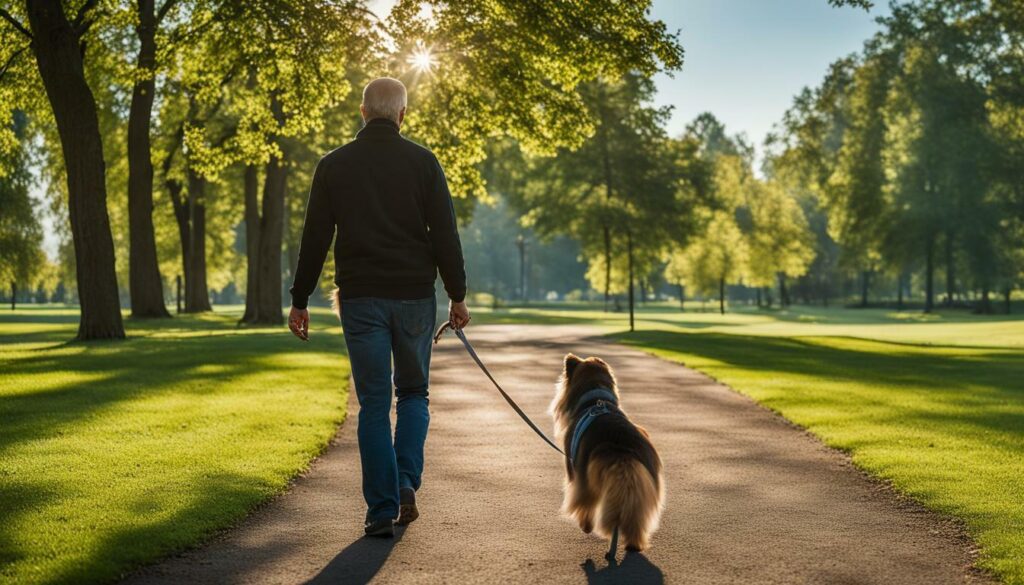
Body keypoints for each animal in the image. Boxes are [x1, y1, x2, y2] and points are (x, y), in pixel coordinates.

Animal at [552, 354, 663, 557]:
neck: (595, 399)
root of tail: (621, 446)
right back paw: (633, 544)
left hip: (584, 475)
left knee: (586, 501)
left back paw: (587, 526)